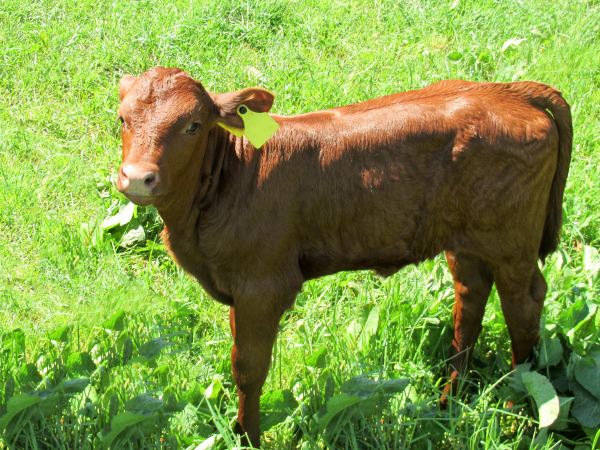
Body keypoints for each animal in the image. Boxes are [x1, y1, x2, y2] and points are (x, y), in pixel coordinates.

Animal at [116, 67, 572, 446]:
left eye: (193, 125)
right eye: (122, 119)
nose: (137, 177)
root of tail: (509, 91)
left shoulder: (263, 285)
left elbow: (249, 369)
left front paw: (247, 438)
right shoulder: (237, 284)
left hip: (512, 241)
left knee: (524, 305)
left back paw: (516, 408)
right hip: (467, 241)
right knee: (471, 296)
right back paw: (448, 401)